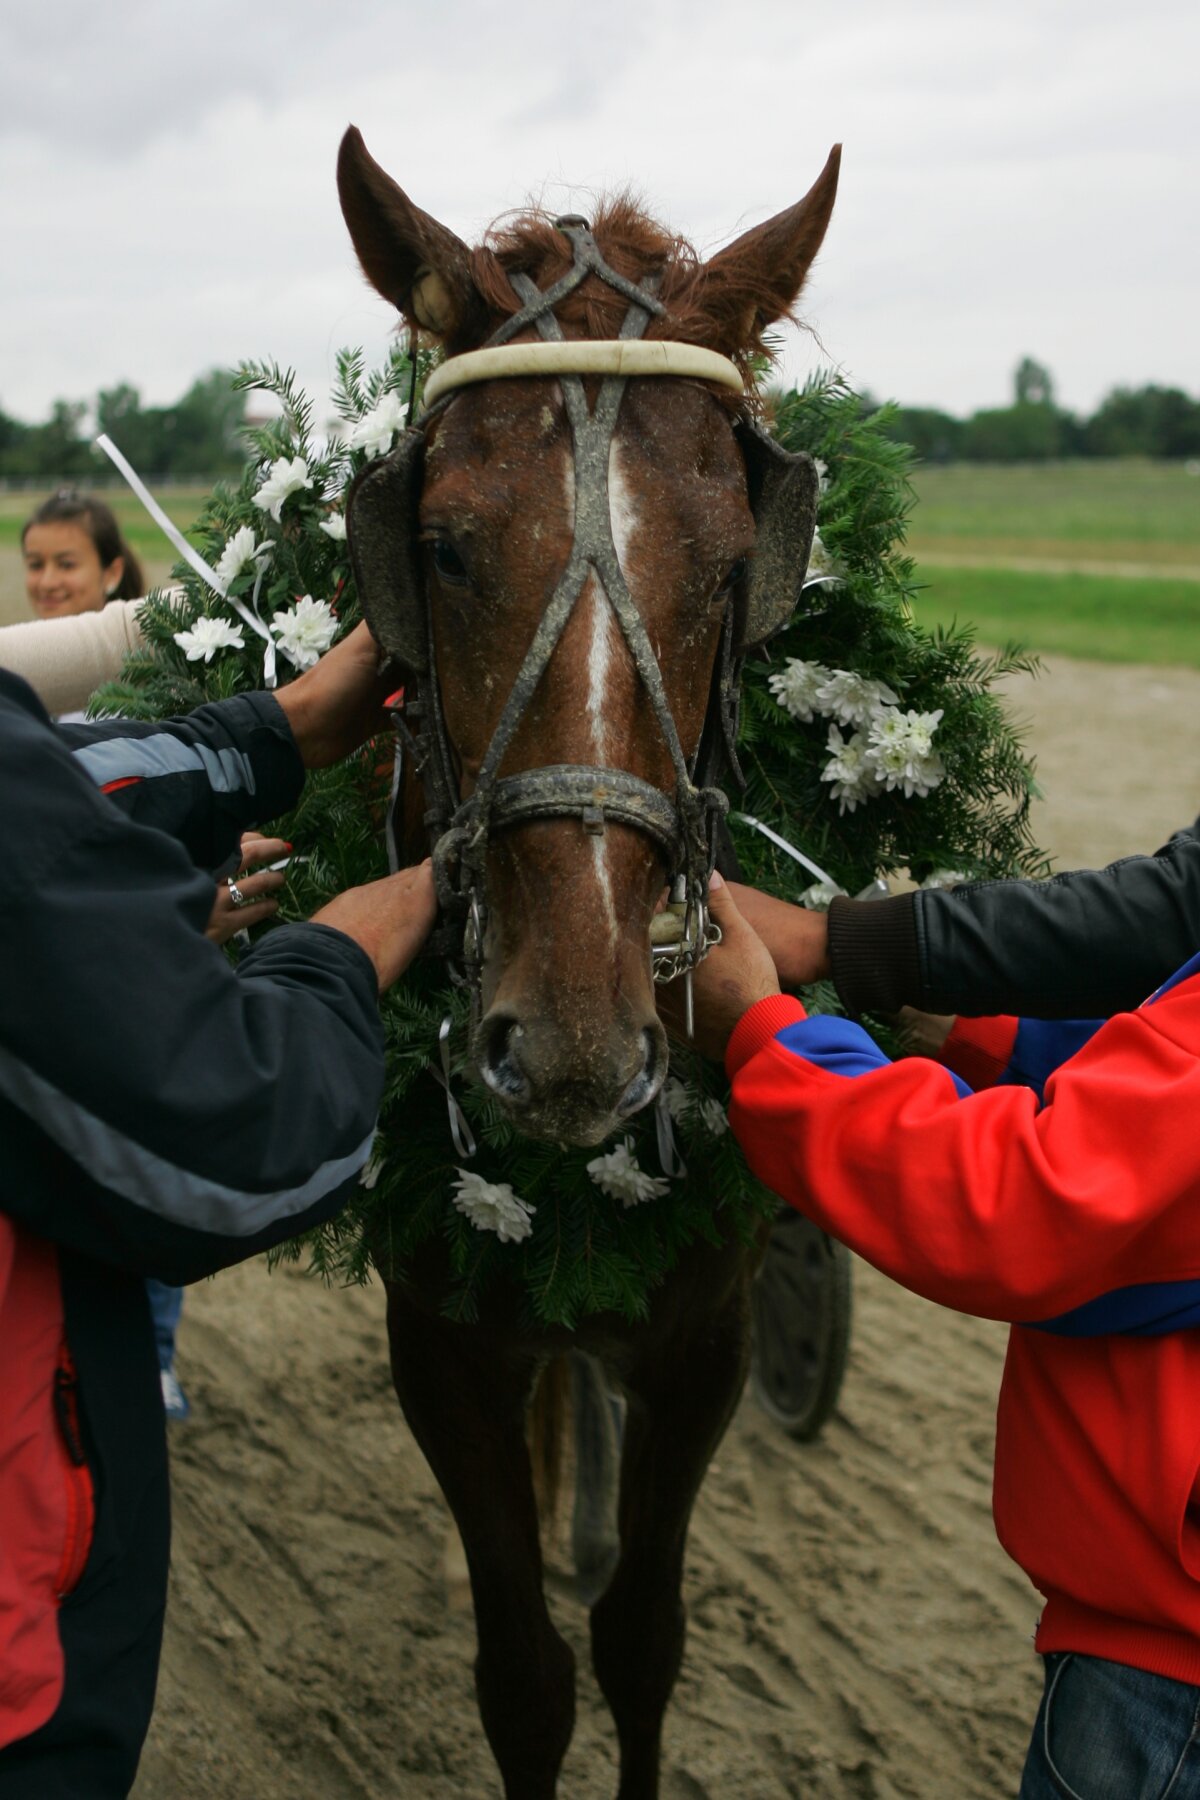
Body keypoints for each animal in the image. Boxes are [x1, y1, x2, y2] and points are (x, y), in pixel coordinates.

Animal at [338, 126, 841, 1800]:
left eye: (739, 561)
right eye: (438, 546)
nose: (569, 1043)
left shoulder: (708, 1338)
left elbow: (640, 1646)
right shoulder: (442, 1348)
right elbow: (528, 1680)